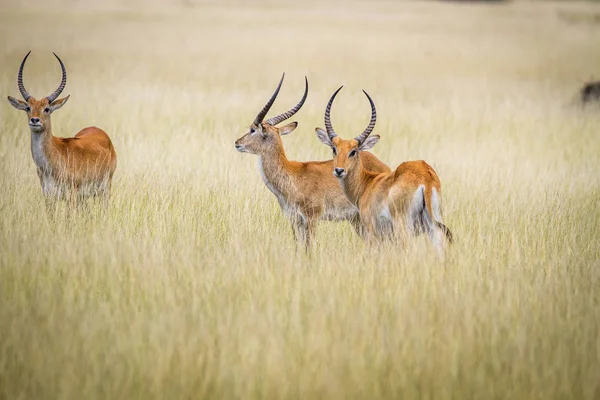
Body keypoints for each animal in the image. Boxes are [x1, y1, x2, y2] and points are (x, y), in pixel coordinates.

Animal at [7, 51, 117, 211]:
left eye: (47, 108)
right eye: (28, 107)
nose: (35, 120)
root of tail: (99, 131)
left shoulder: (72, 196)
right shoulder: (48, 197)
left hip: (105, 191)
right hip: (84, 198)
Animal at [232, 72, 392, 247]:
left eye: (252, 129)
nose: (237, 143)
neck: (292, 175)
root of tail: (387, 169)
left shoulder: (311, 218)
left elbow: (310, 246)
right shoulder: (294, 220)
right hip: (357, 220)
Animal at [316, 87, 452, 255]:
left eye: (353, 151)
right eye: (334, 149)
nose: (339, 170)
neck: (367, 183)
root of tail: (425, 178)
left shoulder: (371, 232)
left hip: (403, 227)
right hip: (433, 225)